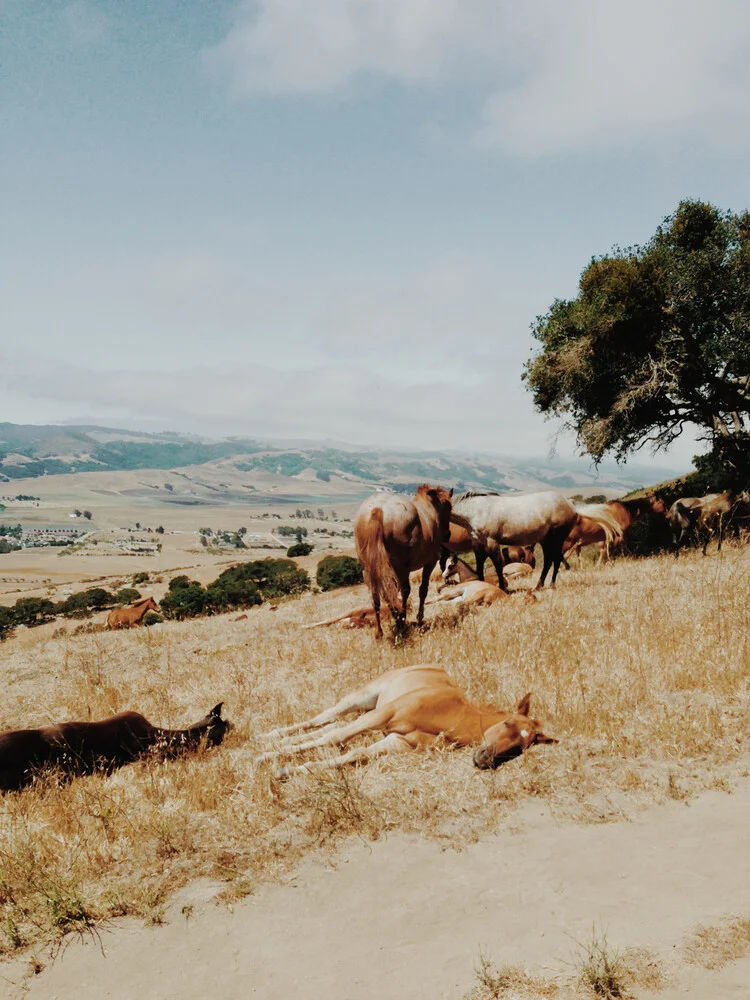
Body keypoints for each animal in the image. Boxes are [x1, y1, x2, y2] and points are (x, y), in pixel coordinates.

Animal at [258, 668, 560, 776]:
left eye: (521, 747)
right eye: (508, 723)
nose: (484, 759)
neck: (452, 717)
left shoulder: (398, 742)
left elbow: (353, 754)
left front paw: (286, 771)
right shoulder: (384, 715)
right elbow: (335, 739)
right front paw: (269, 759)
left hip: (368, 713)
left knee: (332, 726)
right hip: (364, 700)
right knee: (325, 719)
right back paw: (267, 740)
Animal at [356, 486, 456, 640]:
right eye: (448, 507)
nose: (447, 534)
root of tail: (378, 510)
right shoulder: (430, 563)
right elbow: (422, 590)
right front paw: (419, 619)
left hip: (368, 570)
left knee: (377, 596)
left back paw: (382, 630)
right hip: (400, 568)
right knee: (403, 591)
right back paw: (401, 621)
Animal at [452, 490, 624, 588]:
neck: (477, 509)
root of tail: (570, 504)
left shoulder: (492, 542)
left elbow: (498, 565)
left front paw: (502, 587)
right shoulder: (477, 543)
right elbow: (480, 566)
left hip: (556, 539)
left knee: (555, 559)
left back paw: (550, 585)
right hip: (546, 540)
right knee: (550, 560)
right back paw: (540, 585)